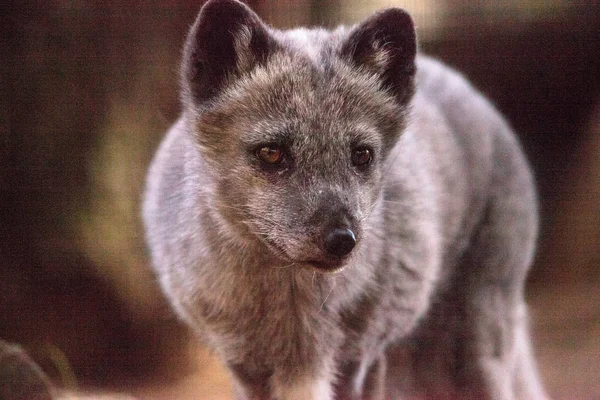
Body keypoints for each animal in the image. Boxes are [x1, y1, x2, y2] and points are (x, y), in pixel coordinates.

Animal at [142, 1, 548, 398]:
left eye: (361, 155)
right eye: (271, 153)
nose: (341, 241)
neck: (297, 322)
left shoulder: (357, 364)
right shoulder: (247, 370)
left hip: (469, 357)